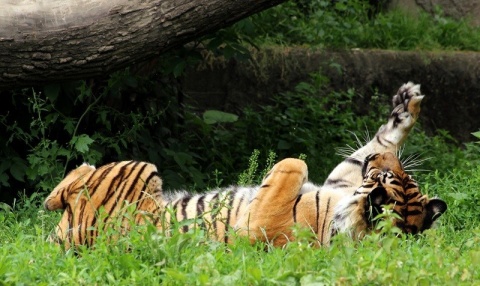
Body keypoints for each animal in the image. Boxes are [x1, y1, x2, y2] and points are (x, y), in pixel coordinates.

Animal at [44, 81, 446, 248]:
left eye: (388, 174)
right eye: (400, 174)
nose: (382, 162)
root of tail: (64, 241)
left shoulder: (261, 222)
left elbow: (294, 161)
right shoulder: (339, 182)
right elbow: (367, 148)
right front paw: (407, 104)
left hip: (139, 170)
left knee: (64, 191)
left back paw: (75, 174)